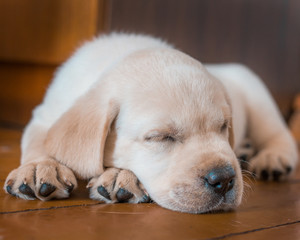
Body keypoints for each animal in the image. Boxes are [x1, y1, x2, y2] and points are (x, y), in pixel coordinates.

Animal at [4, 33, 298, 214]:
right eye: (160, 137)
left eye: (224, 127)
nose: (224, 179)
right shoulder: (44, 115)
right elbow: (40, 141)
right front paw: (39, 167)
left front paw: (119, 175)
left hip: (259, 97)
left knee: (280, 135)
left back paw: (272, 158)